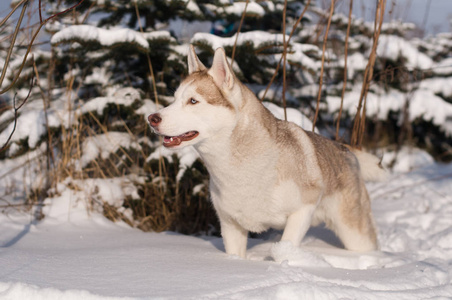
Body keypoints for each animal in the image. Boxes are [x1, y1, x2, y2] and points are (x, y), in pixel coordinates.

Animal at [147, 45, 384, 258]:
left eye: (193, 101)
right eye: (175, 99)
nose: (151, 118)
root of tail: (346, 150)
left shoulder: (302, 211)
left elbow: (284, 249)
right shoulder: (230, 225)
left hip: (354, 233)